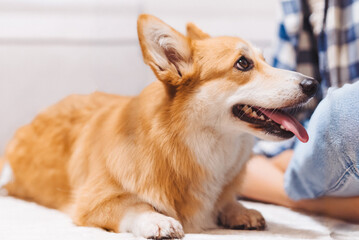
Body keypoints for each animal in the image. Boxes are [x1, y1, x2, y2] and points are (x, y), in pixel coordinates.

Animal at [0, 14, 318, 238]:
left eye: (265, 60)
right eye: (243, 63)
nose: (313, 84)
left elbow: (227, 202)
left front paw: (239, 211)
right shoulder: (93, 201)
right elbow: (134, 205)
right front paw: (158, 220)